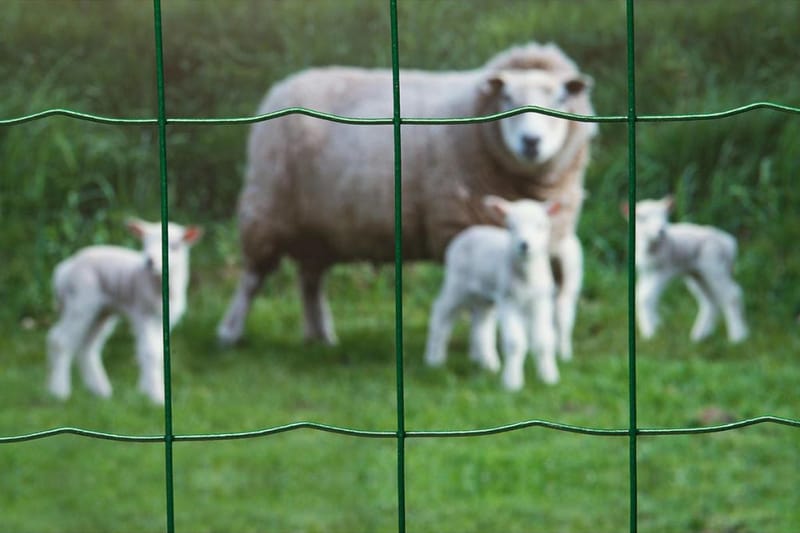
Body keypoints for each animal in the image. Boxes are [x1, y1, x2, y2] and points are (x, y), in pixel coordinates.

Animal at [46, 216, 202, 404]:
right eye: (145, 243)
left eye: (174, 246)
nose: (150, 261)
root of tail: (62, 271)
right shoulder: (143, 313)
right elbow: (150, 352)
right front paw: (155, 396)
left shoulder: (164, 319)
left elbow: (157, 351)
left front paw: (145, 389)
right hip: (81, 302)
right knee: (59, 340)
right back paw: (59, 392)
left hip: (101, 312)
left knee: (87, 346)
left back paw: (100, 390)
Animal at [217, 42, 592, 362]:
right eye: (507, 98)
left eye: (560, 99)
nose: (531, 142)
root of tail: (285, 84)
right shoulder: (461, 229)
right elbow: (479, 307)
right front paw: (480, 350)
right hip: (268, 206)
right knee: (253, 277)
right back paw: (230, 333)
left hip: (317, 226)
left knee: (310, 280)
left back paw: (320, 337)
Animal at [422, 195, 560, 390]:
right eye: (510, 226)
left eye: (542, 225)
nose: (524, 245)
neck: (526, 278)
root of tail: (470, 231)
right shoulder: (508, 300)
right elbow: (515, 343)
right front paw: (512, 383)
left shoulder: (541, 300)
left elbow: (544, 340)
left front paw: (549, 378)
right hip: (457, 283)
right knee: (441, 312)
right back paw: (434, 359)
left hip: (484, 296)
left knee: (482, 324)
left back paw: (488, 364)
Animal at [624, 195, 752, 340]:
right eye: (642, 218)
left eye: (664, 216)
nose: (661, 231)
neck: (650, 247)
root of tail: (729, 243)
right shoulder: (646, 272)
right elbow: (641, 295)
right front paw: (657, 326)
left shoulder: (662, 270)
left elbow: (646, 297)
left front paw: (650, 333)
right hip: (698, 274)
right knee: (711, 300)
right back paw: (701, 335)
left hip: (714, 267)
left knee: (732, 294)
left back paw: (738, 336)